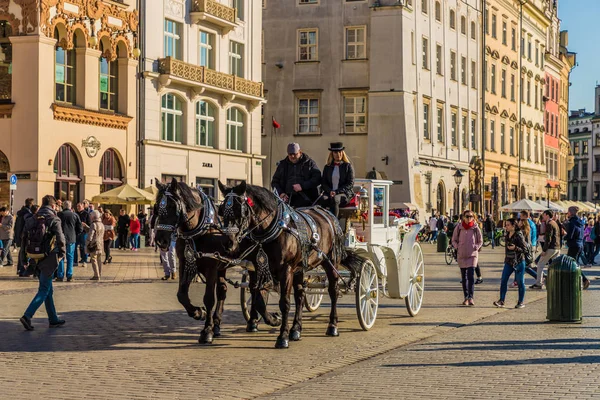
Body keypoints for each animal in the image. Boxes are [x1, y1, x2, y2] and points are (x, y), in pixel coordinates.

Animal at [218, 180, 364, 348]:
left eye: (240, 211)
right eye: (221, 211)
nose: (228, 243)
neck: (272, 230)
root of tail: (326, 213)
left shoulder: (286, 269)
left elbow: (284, 302)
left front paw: (282, 337)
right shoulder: (257, 268)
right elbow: (258, 299)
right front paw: (273, 319)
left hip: (330, 261)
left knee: (333, 291)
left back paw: (332, 326)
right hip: (300, 268)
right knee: (300, 294)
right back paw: (296, 329)